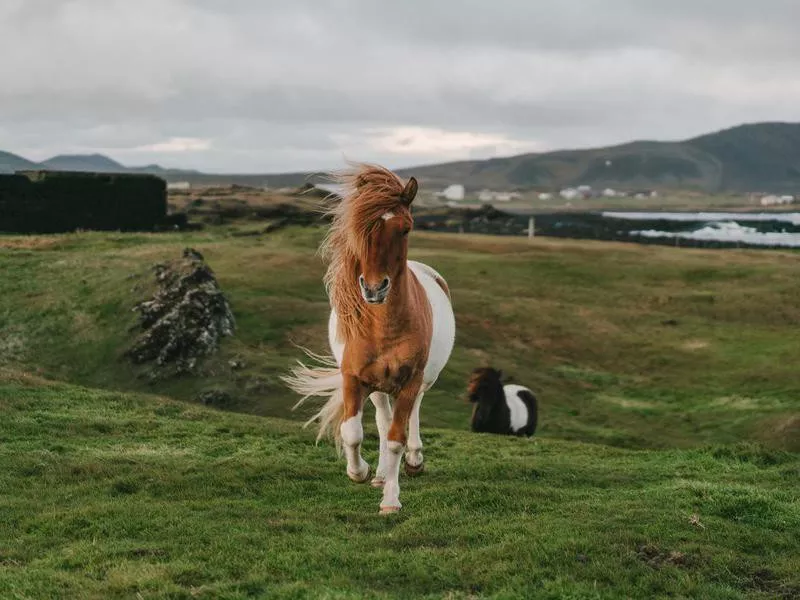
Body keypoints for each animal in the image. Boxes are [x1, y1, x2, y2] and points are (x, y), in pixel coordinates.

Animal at [284, 162, 454, 512]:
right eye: (361, 229)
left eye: (405, 229)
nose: (374, 289)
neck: (384, 328)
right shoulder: (353, 378)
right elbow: (353, 432)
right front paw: (360, 472)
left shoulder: (410, 381)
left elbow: (396, 439)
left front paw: (390, 500)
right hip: (378, 387)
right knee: (382, 419)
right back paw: (379, 474)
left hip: (420, 381)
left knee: (411, 416)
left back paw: (412, 461)